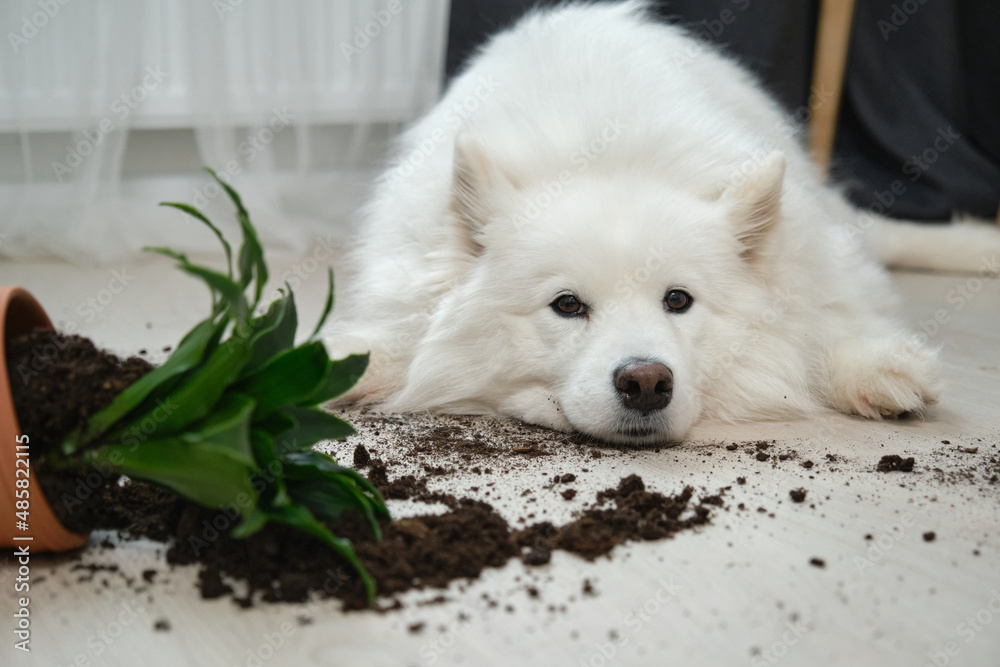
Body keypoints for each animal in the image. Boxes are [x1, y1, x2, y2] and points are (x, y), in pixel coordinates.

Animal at [330, 3, 1000, 448]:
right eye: (567, 305)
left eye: (678, 300)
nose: (647, 382)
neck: (604, 155)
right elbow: (392, 339)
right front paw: (342, 361)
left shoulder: (811, 270)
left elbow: (822, 318)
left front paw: (875, 367)